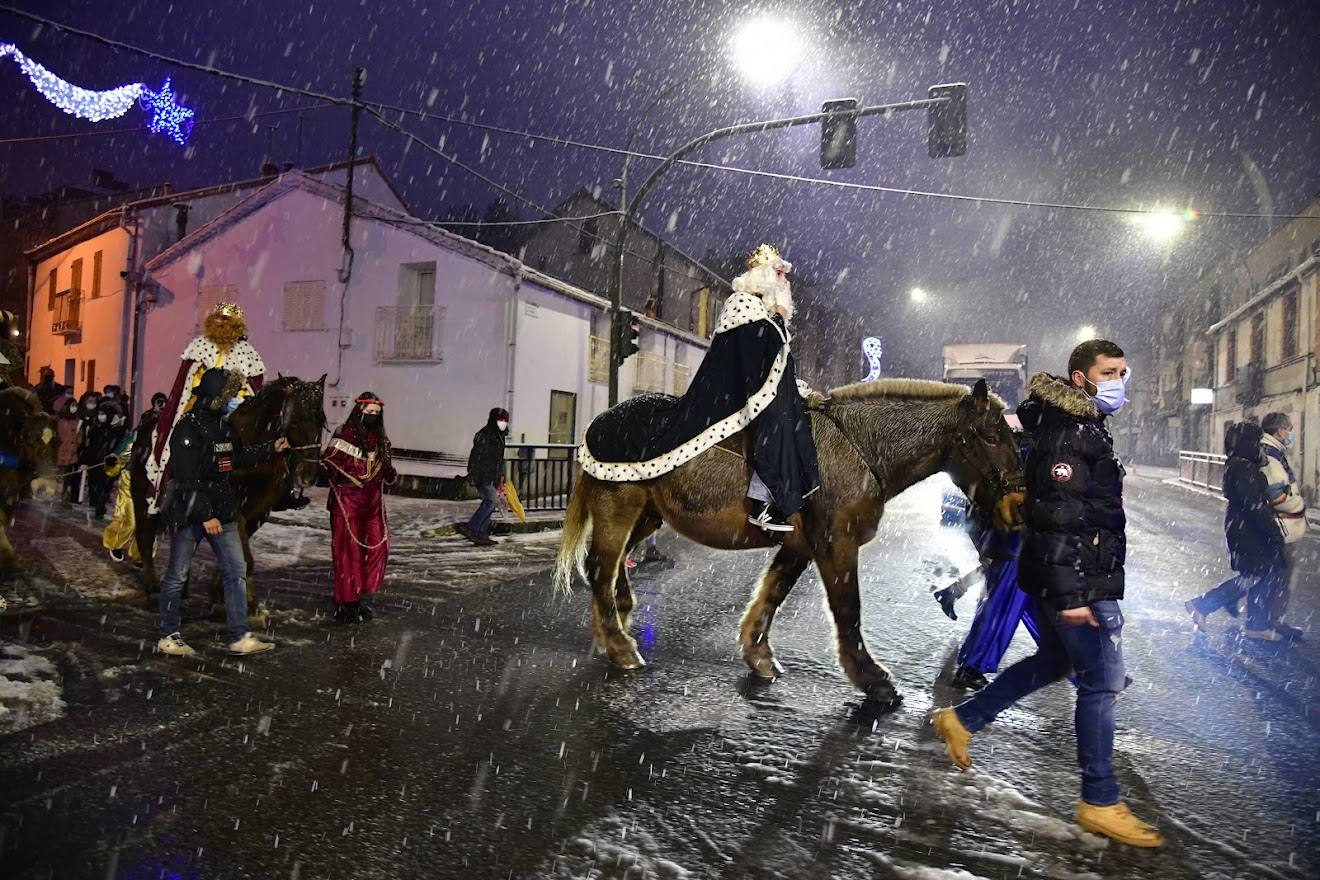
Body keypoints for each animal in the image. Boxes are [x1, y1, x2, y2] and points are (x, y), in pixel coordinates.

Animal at [130, 374, 326, 609]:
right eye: (294, 420)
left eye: (322, 422)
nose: (309, 474)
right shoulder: (235, 512)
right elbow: (246, 559)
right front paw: (246, 600)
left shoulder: (257, 515)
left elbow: (236, 556)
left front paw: (220, 593)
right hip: (143, 500)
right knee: (144, 537)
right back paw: (152, 588)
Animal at [551, 377, 1024, 701]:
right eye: (990, 435)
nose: (1018, 506)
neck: (859, 447)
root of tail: (601, 421)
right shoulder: (835, 542)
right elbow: (848, 609)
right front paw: (872, 679)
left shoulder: (800, 543)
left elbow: (773, 593)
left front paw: (759, 655)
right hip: (619, 504)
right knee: (601, 567)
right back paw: (620, 646)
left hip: (648, 516)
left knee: (612, 568)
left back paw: (615, 624)